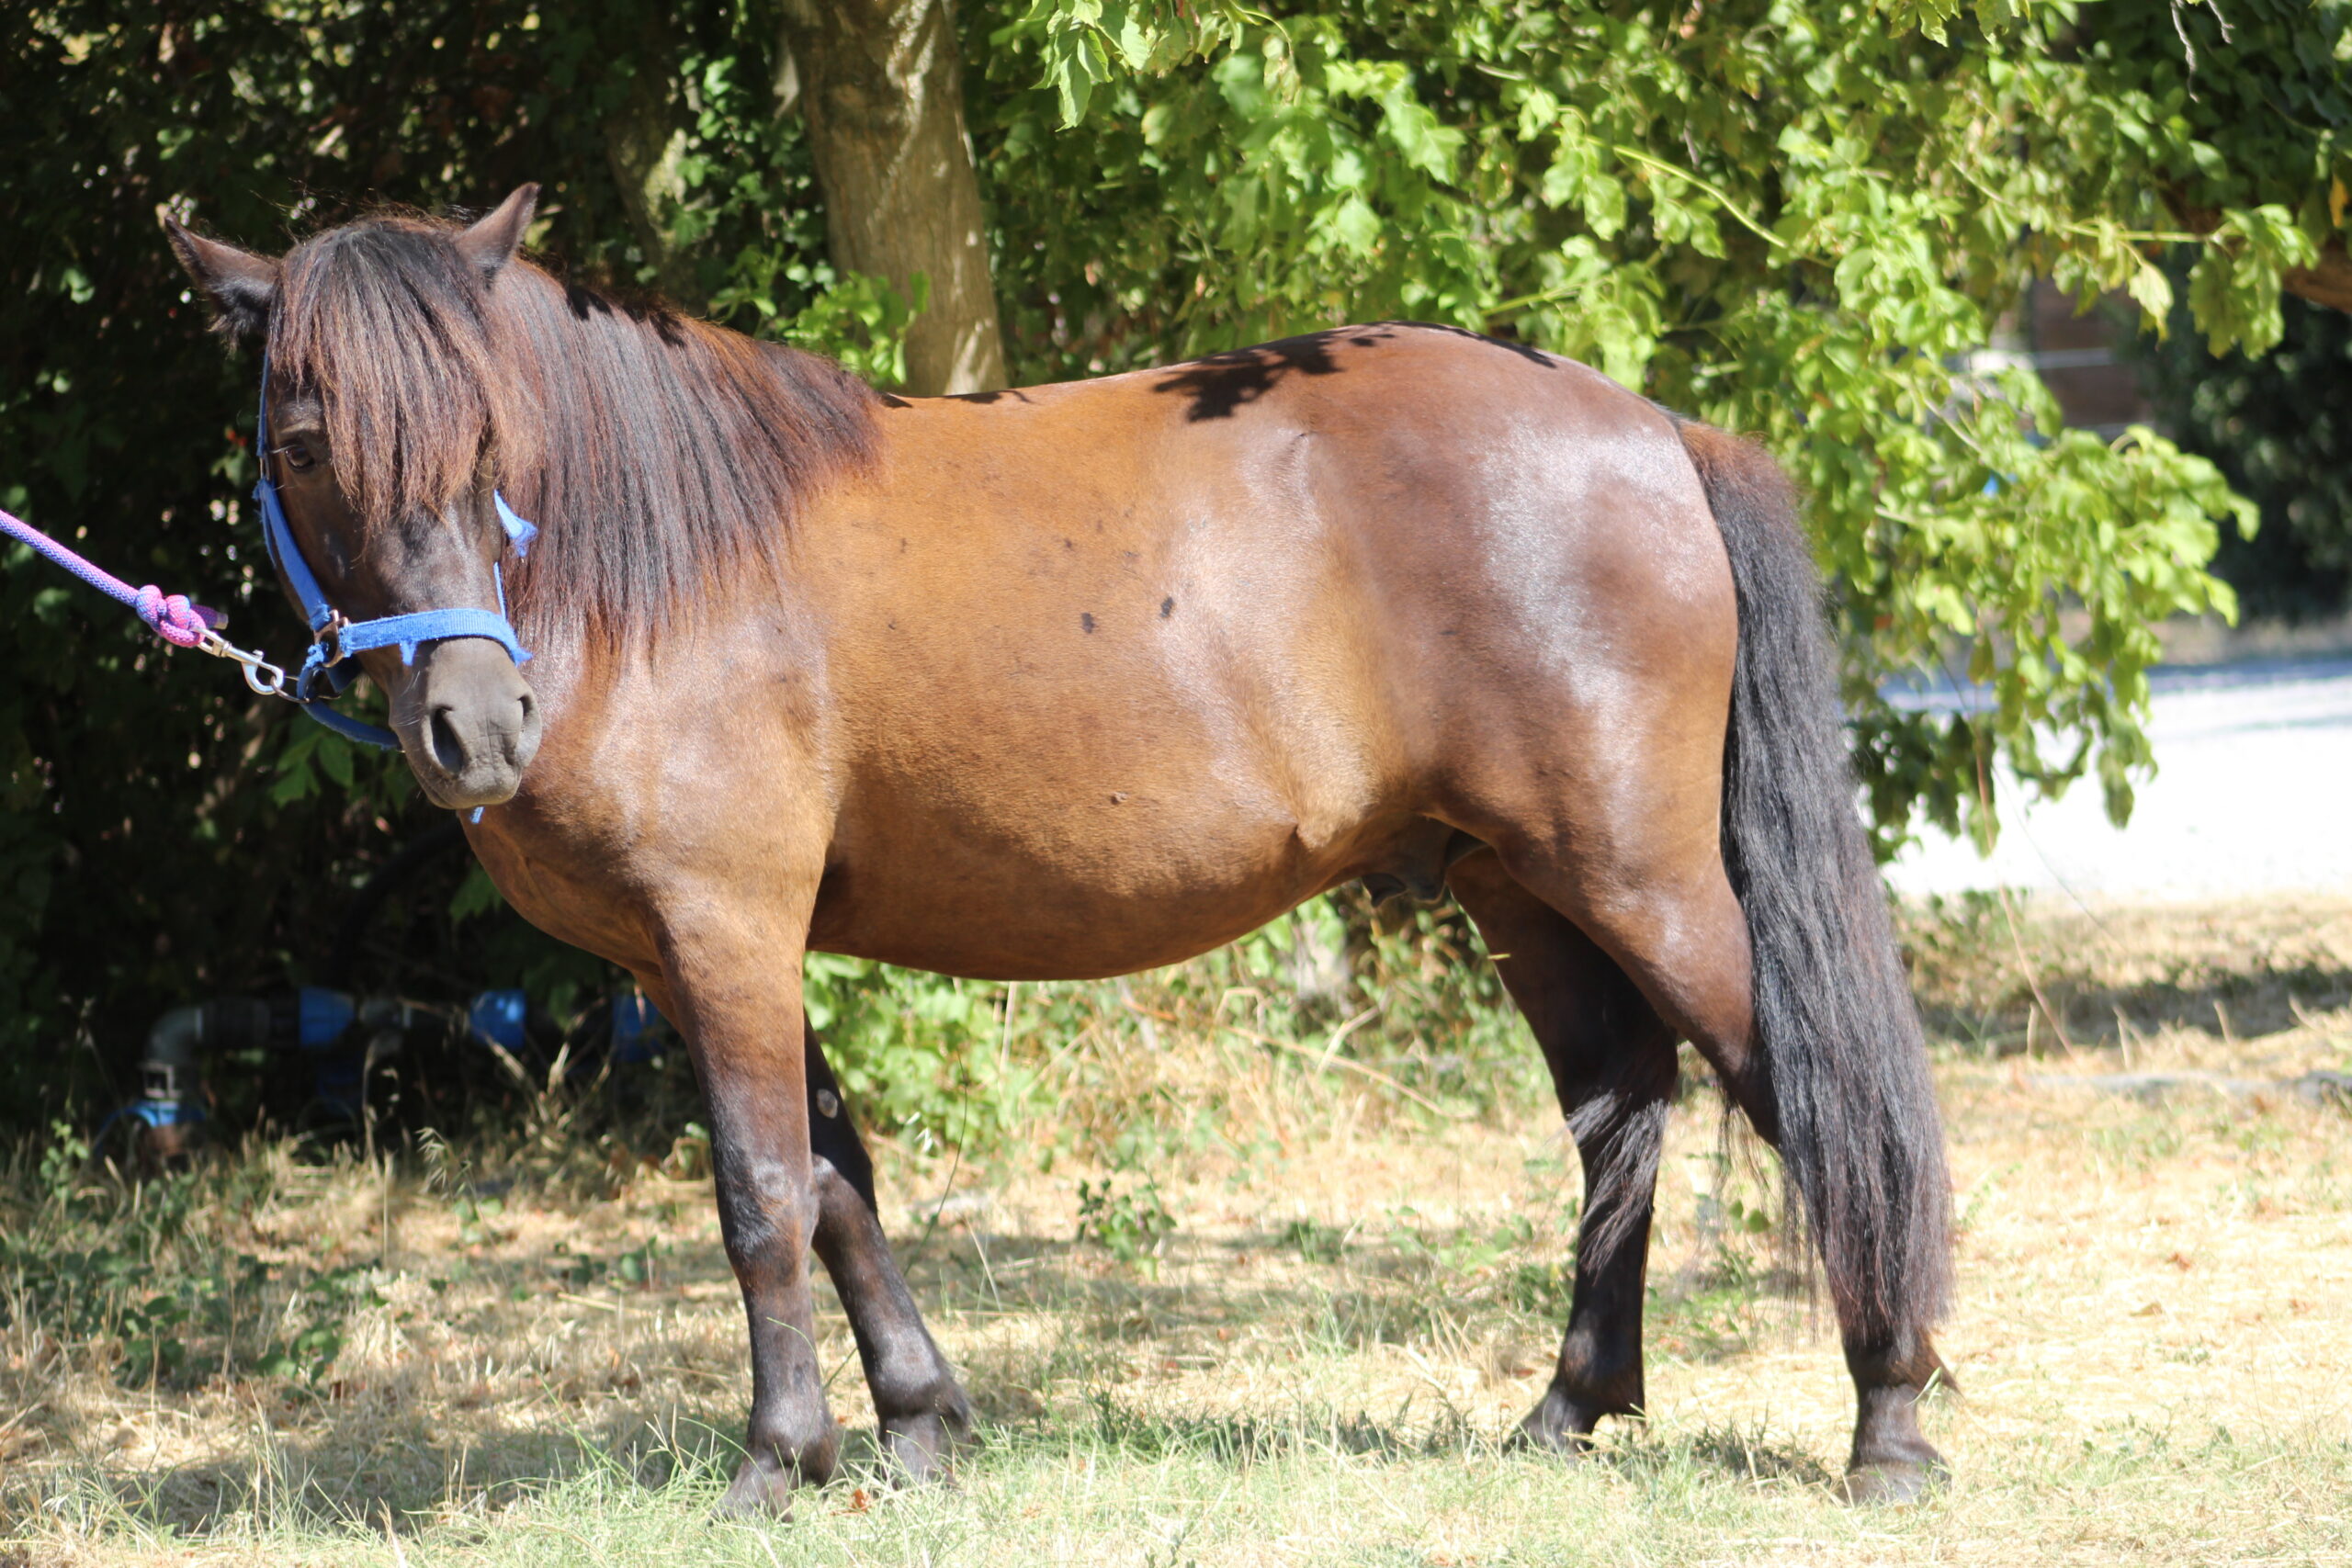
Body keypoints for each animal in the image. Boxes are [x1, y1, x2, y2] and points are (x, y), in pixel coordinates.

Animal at [165, 190, 1956, 1514]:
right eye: (304, 440)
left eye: (491, 438)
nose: (476, 724)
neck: (654, 569)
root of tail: (1649, 430)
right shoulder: (704, 958)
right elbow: (839, 1179)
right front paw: (917, 1428)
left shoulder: (724, 929)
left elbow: (760, 1191)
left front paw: (777, 1460)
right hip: (1514, 882)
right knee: (1617, 1110)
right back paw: (1570, 1410)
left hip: (1642, 877)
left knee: (1797, 1091)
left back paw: (1889, 1418)